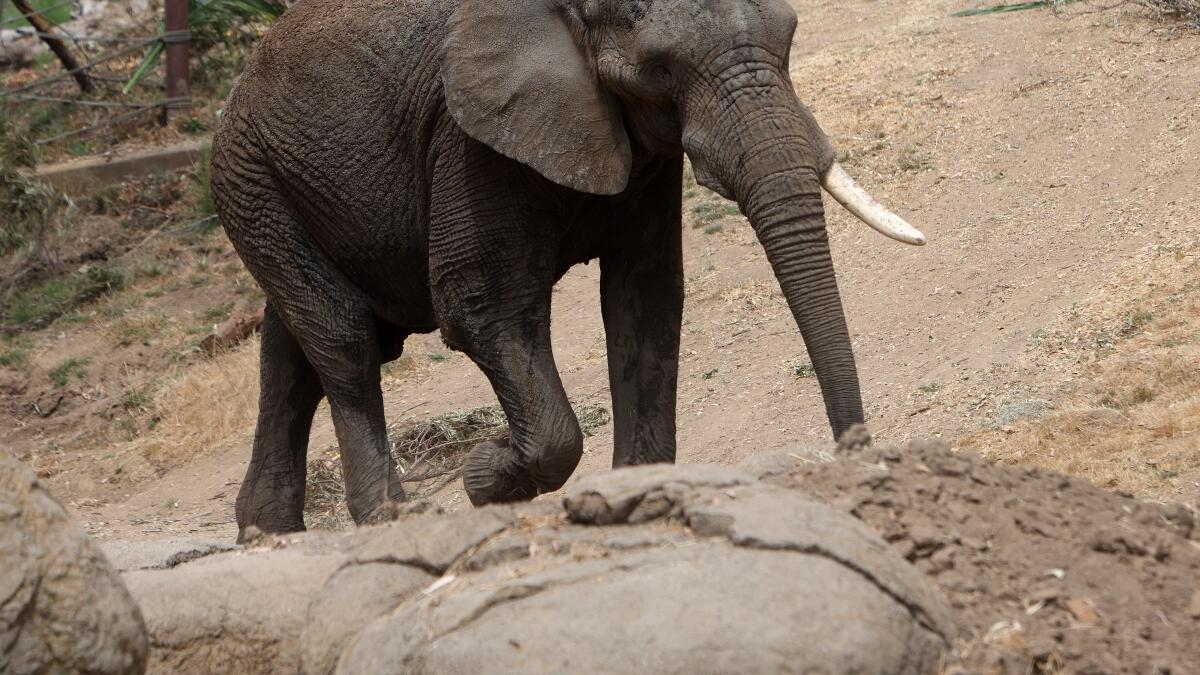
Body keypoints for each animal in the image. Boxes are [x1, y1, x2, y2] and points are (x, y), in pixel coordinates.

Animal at [209, 0, 925, 540]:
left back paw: (265, 532)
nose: (858, 459)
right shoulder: (470, 141)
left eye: (791, 37)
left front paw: (637, 494)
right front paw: (485, 477)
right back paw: (388, 517)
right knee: (346, 344)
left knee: (292, 353)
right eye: (659, 70)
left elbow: (645, 297)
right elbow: (482, 308)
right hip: (251, 179)